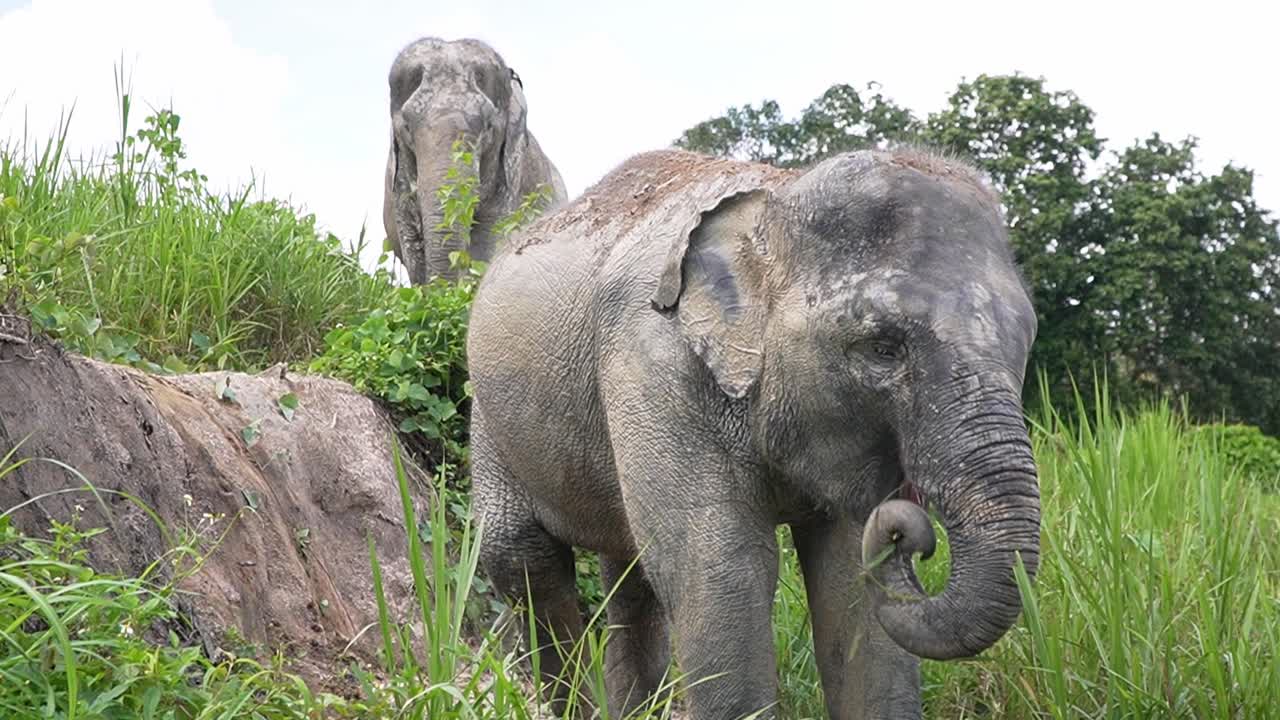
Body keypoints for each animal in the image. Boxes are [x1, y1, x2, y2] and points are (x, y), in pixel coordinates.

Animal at [465, 146, 1042, 719]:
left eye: (1026, 339)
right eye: (883, 348)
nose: (910, 532)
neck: (778, 196)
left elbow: (849, 576)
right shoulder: (652, 363)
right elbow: (722, 574)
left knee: (629, 575)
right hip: (488, 418)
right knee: (523, 559)